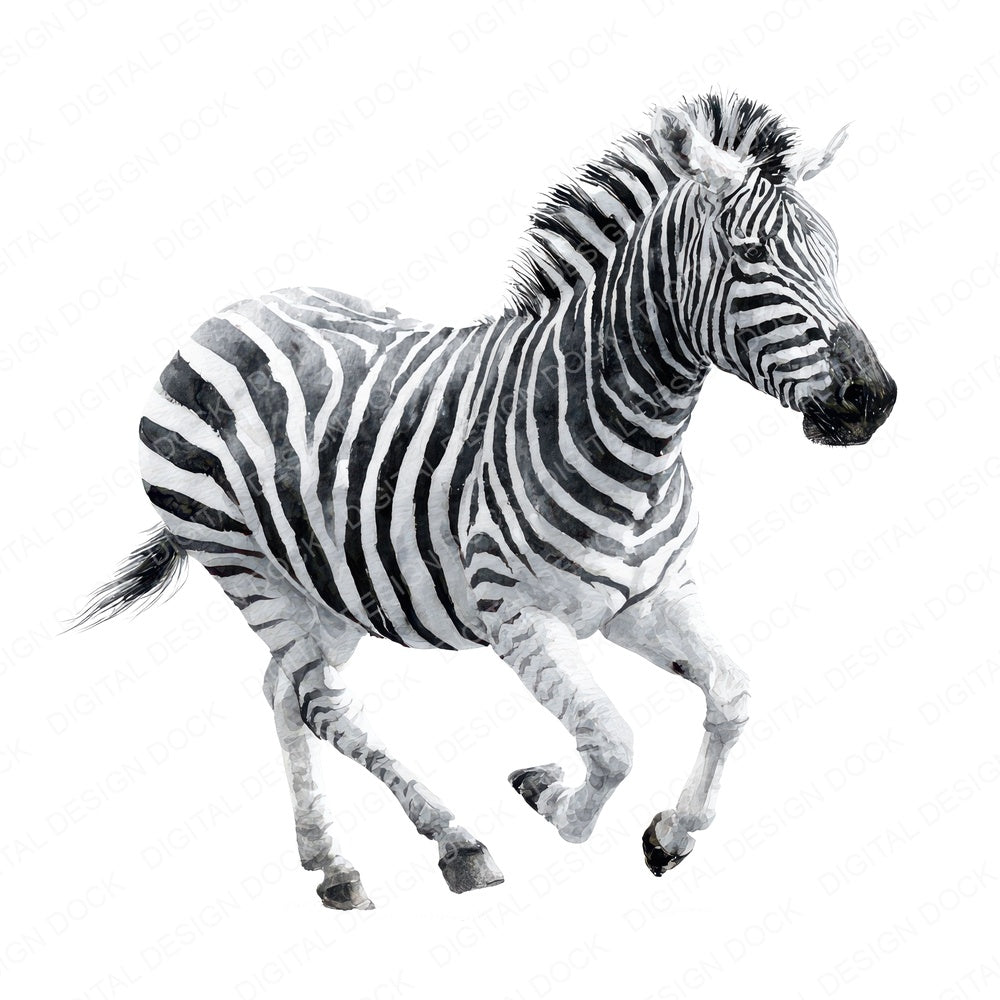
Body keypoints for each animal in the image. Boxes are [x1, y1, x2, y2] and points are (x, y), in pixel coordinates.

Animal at [73, 93, 896, 909]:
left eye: (833, 253)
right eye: (750, 254)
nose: (874, 399)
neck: (633, 438)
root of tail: (222, 317)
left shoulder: (650, 597)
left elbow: (733, 696)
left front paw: (671, 832)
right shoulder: (515, 612)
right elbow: (611, 742)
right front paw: (549, 795)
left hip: (326, 583)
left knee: (286, 690)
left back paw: (330, 862)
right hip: (244, 563)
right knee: (321, 703)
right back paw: (456, 843)